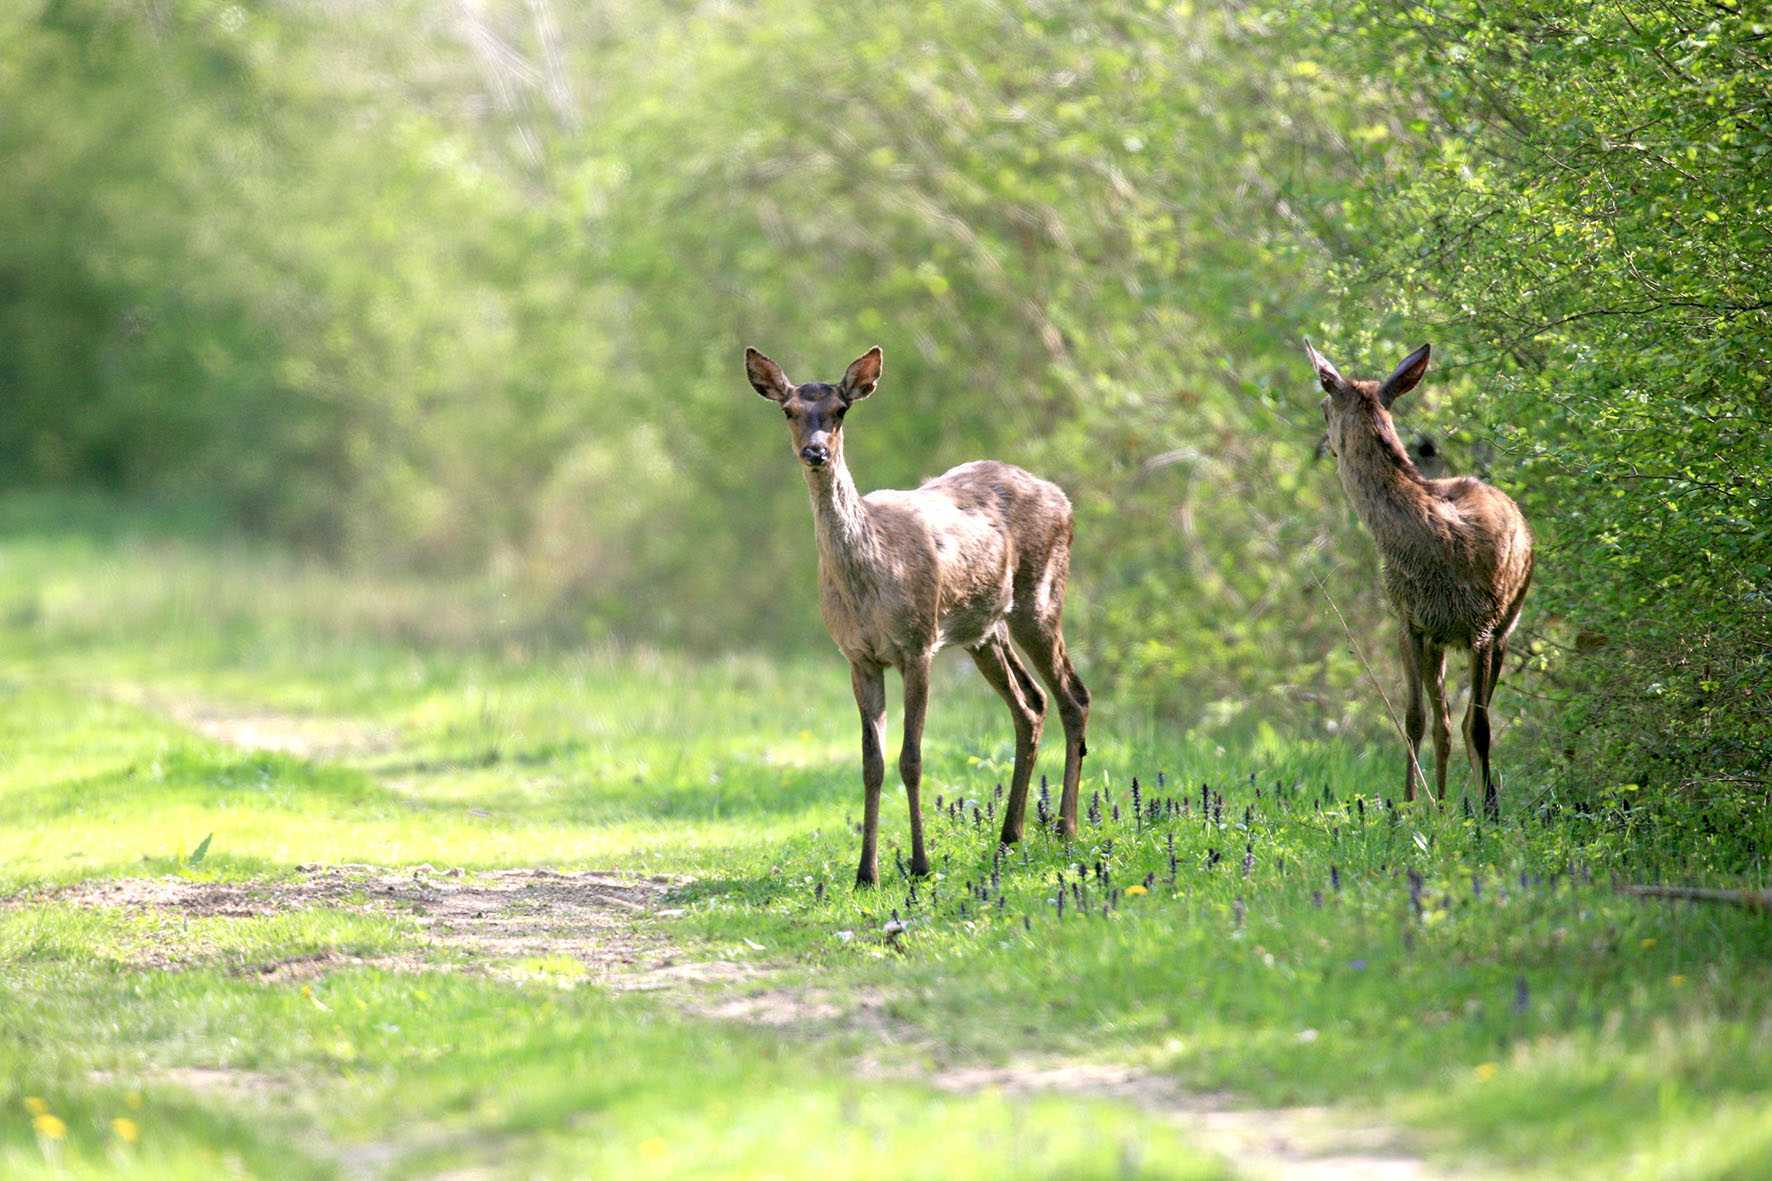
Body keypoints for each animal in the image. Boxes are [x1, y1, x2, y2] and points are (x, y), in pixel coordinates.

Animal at [740, 345, 1084, 879]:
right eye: (789, 411)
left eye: (840, 410)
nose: (815, 452)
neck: (868, 581)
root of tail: (1064, 499)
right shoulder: (858, 656)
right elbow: (872, 763)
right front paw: (866, 872)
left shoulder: (918, 645)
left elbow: (912, 758)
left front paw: (919, 864)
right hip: (984, 631)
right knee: (1031, 705)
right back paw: (1010, 837)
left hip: (1041, 597)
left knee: (1073, 696)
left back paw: (1065, 829)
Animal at [1304, 335, 1538, 815]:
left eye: (1323, 406)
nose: (1325, 445)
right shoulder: (1409, 622)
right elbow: (1415, 719)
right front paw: (1412, 803)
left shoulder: (1481, 626)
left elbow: (1480, 727)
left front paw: (1490, 810)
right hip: (1439, 641)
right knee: (1443, 721)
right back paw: (1443, 800)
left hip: (1505, 626)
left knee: (1467, 721)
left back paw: (1474, 799)